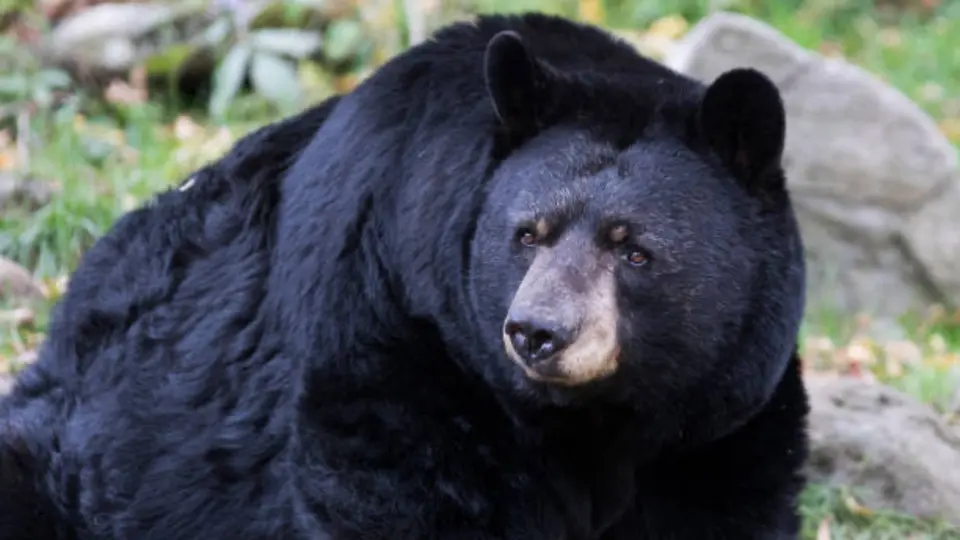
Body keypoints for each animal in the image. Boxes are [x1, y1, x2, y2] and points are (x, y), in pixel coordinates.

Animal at [0, 11, 809, 540]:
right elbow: (393, 492)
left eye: (634, 249)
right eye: (528, 234)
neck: (591, 423)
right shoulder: (392, 332)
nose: (538, 333)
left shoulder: (721, 412)